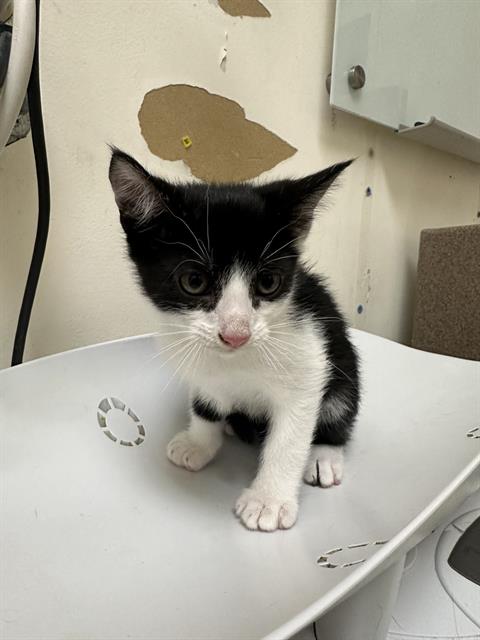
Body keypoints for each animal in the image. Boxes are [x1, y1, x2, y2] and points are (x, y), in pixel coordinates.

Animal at [108, 149, 356, 528]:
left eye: (268, 282)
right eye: (194, 281)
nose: (236, 333)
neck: (236, 362)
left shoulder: (309, 358)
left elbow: (290, 435)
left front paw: (269, 500)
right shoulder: (199, 368)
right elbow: (205, 403)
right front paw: (198, 443)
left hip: (344, 366)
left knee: (338, 412)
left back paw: (323, 456)